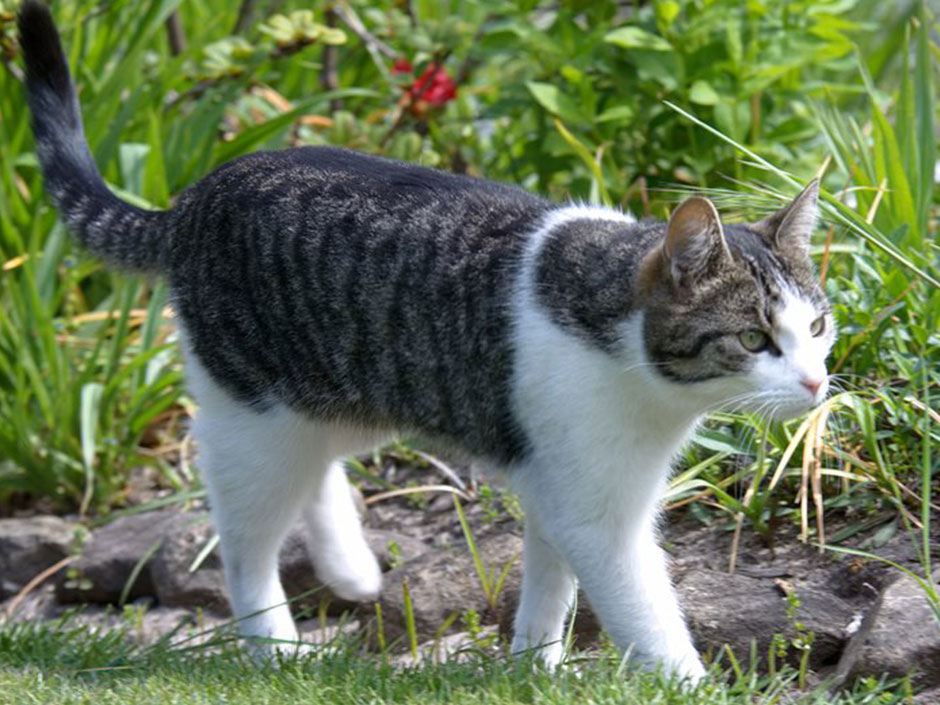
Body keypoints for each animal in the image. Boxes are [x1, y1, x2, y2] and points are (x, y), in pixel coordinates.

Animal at [18, 2, 832, 680]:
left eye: (818, 328)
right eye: (755, 338)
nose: (819, 384)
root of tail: (192, 197)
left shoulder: (559, 487)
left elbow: (549, 589)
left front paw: (534, 669)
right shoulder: (598, 512)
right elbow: (647, 617)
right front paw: (686, 685)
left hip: (355, 390)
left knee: (318, 466)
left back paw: (348, 566)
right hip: (254, 417)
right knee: (245, 537)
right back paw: (274, 646)